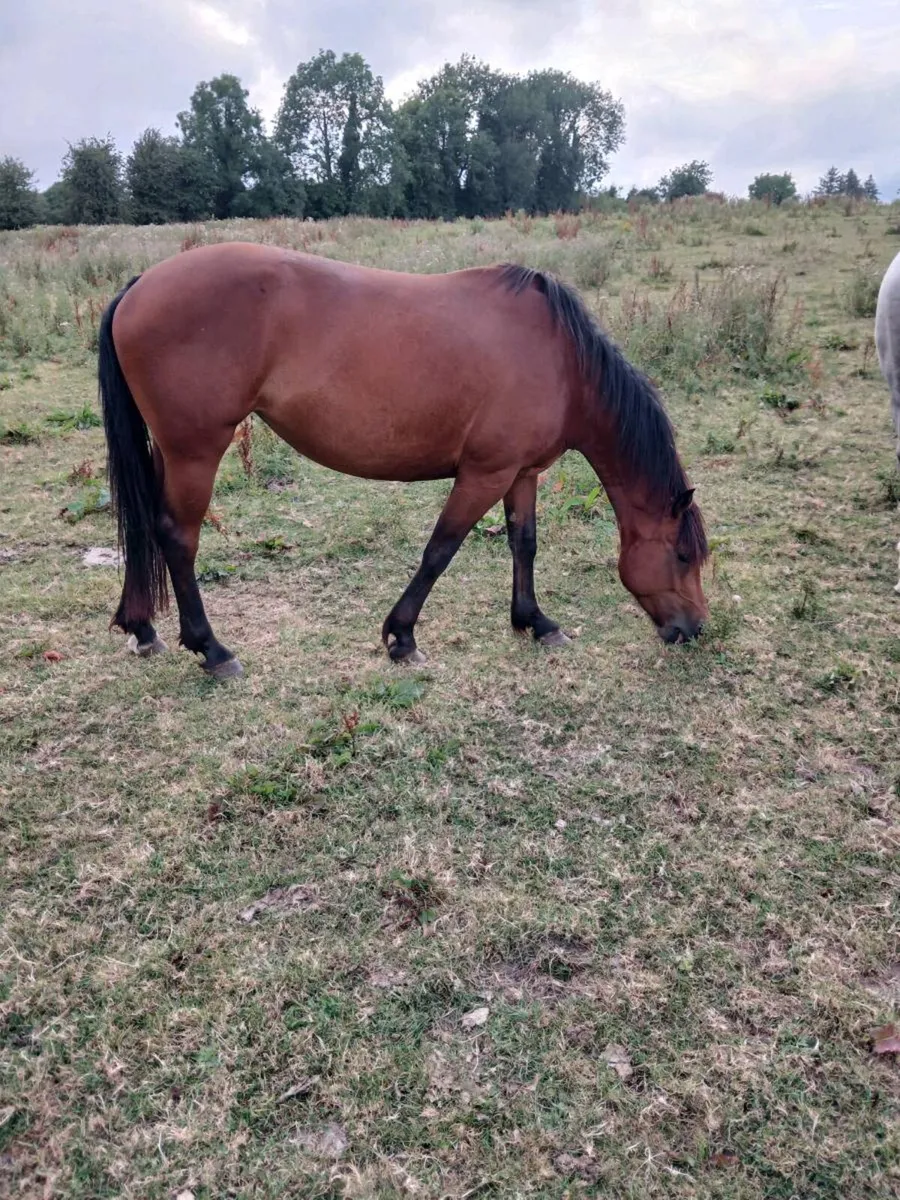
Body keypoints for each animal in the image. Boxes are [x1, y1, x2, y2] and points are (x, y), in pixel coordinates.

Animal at [97, 243, 709, 680]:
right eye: (682, 555)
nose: (694, 629)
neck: (561, 360)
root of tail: (139, 286)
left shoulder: (522, 473)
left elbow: (524, 543)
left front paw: (535, 621)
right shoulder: (484, 474)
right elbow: (441, 549)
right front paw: (402, 637)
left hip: (171, 451)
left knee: (147, 526)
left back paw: (142, 628)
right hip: (196, 451)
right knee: (178, 537)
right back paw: (212, 650)